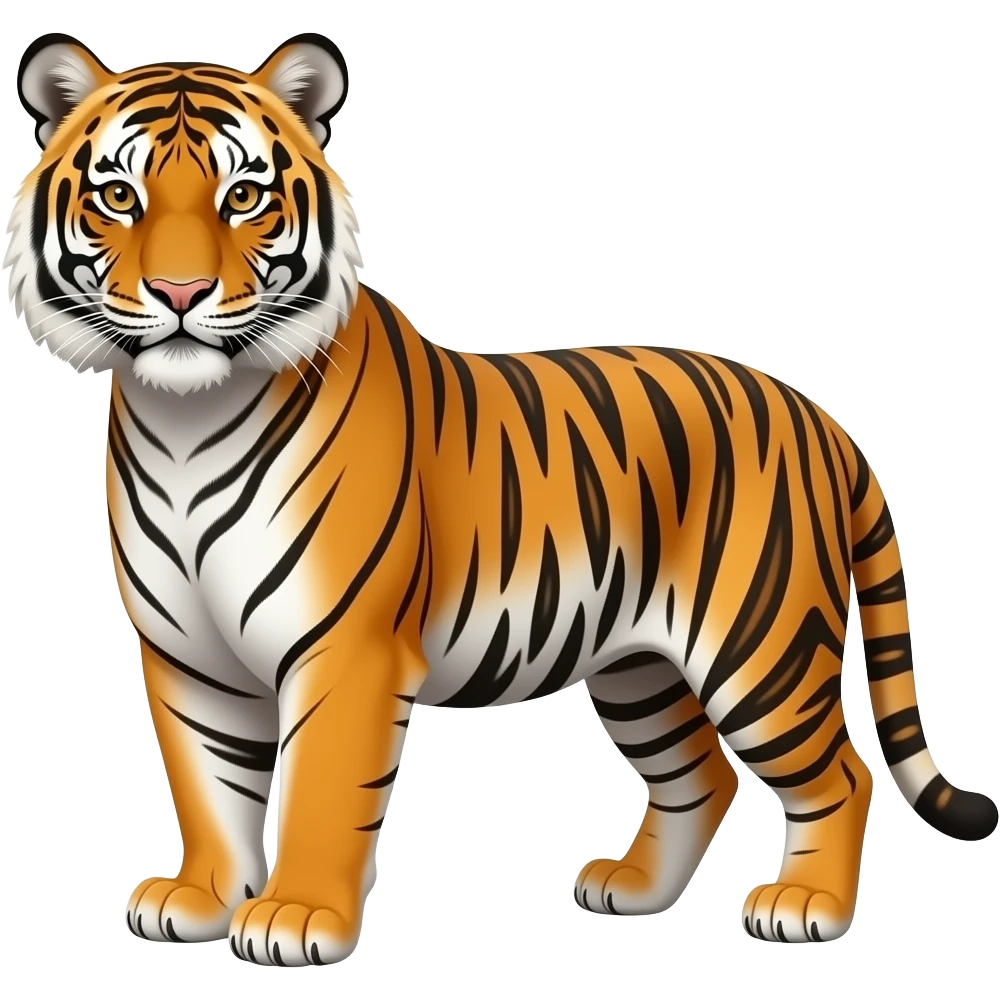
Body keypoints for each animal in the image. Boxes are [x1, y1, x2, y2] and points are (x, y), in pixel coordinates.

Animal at [5, 29, 996, 966]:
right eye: (119, 197)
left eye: (243, 197)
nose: (180, 292)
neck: (185, 419)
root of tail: (819, 416)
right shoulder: (186, 655)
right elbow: (208, 786)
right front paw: (202, 898)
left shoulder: (346, 647)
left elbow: (320, 787)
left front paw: (296, 918)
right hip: (640, 666)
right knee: (699, 776)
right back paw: (632, 890)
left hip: (762, 646)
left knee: (841, 776)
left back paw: (806, 908)